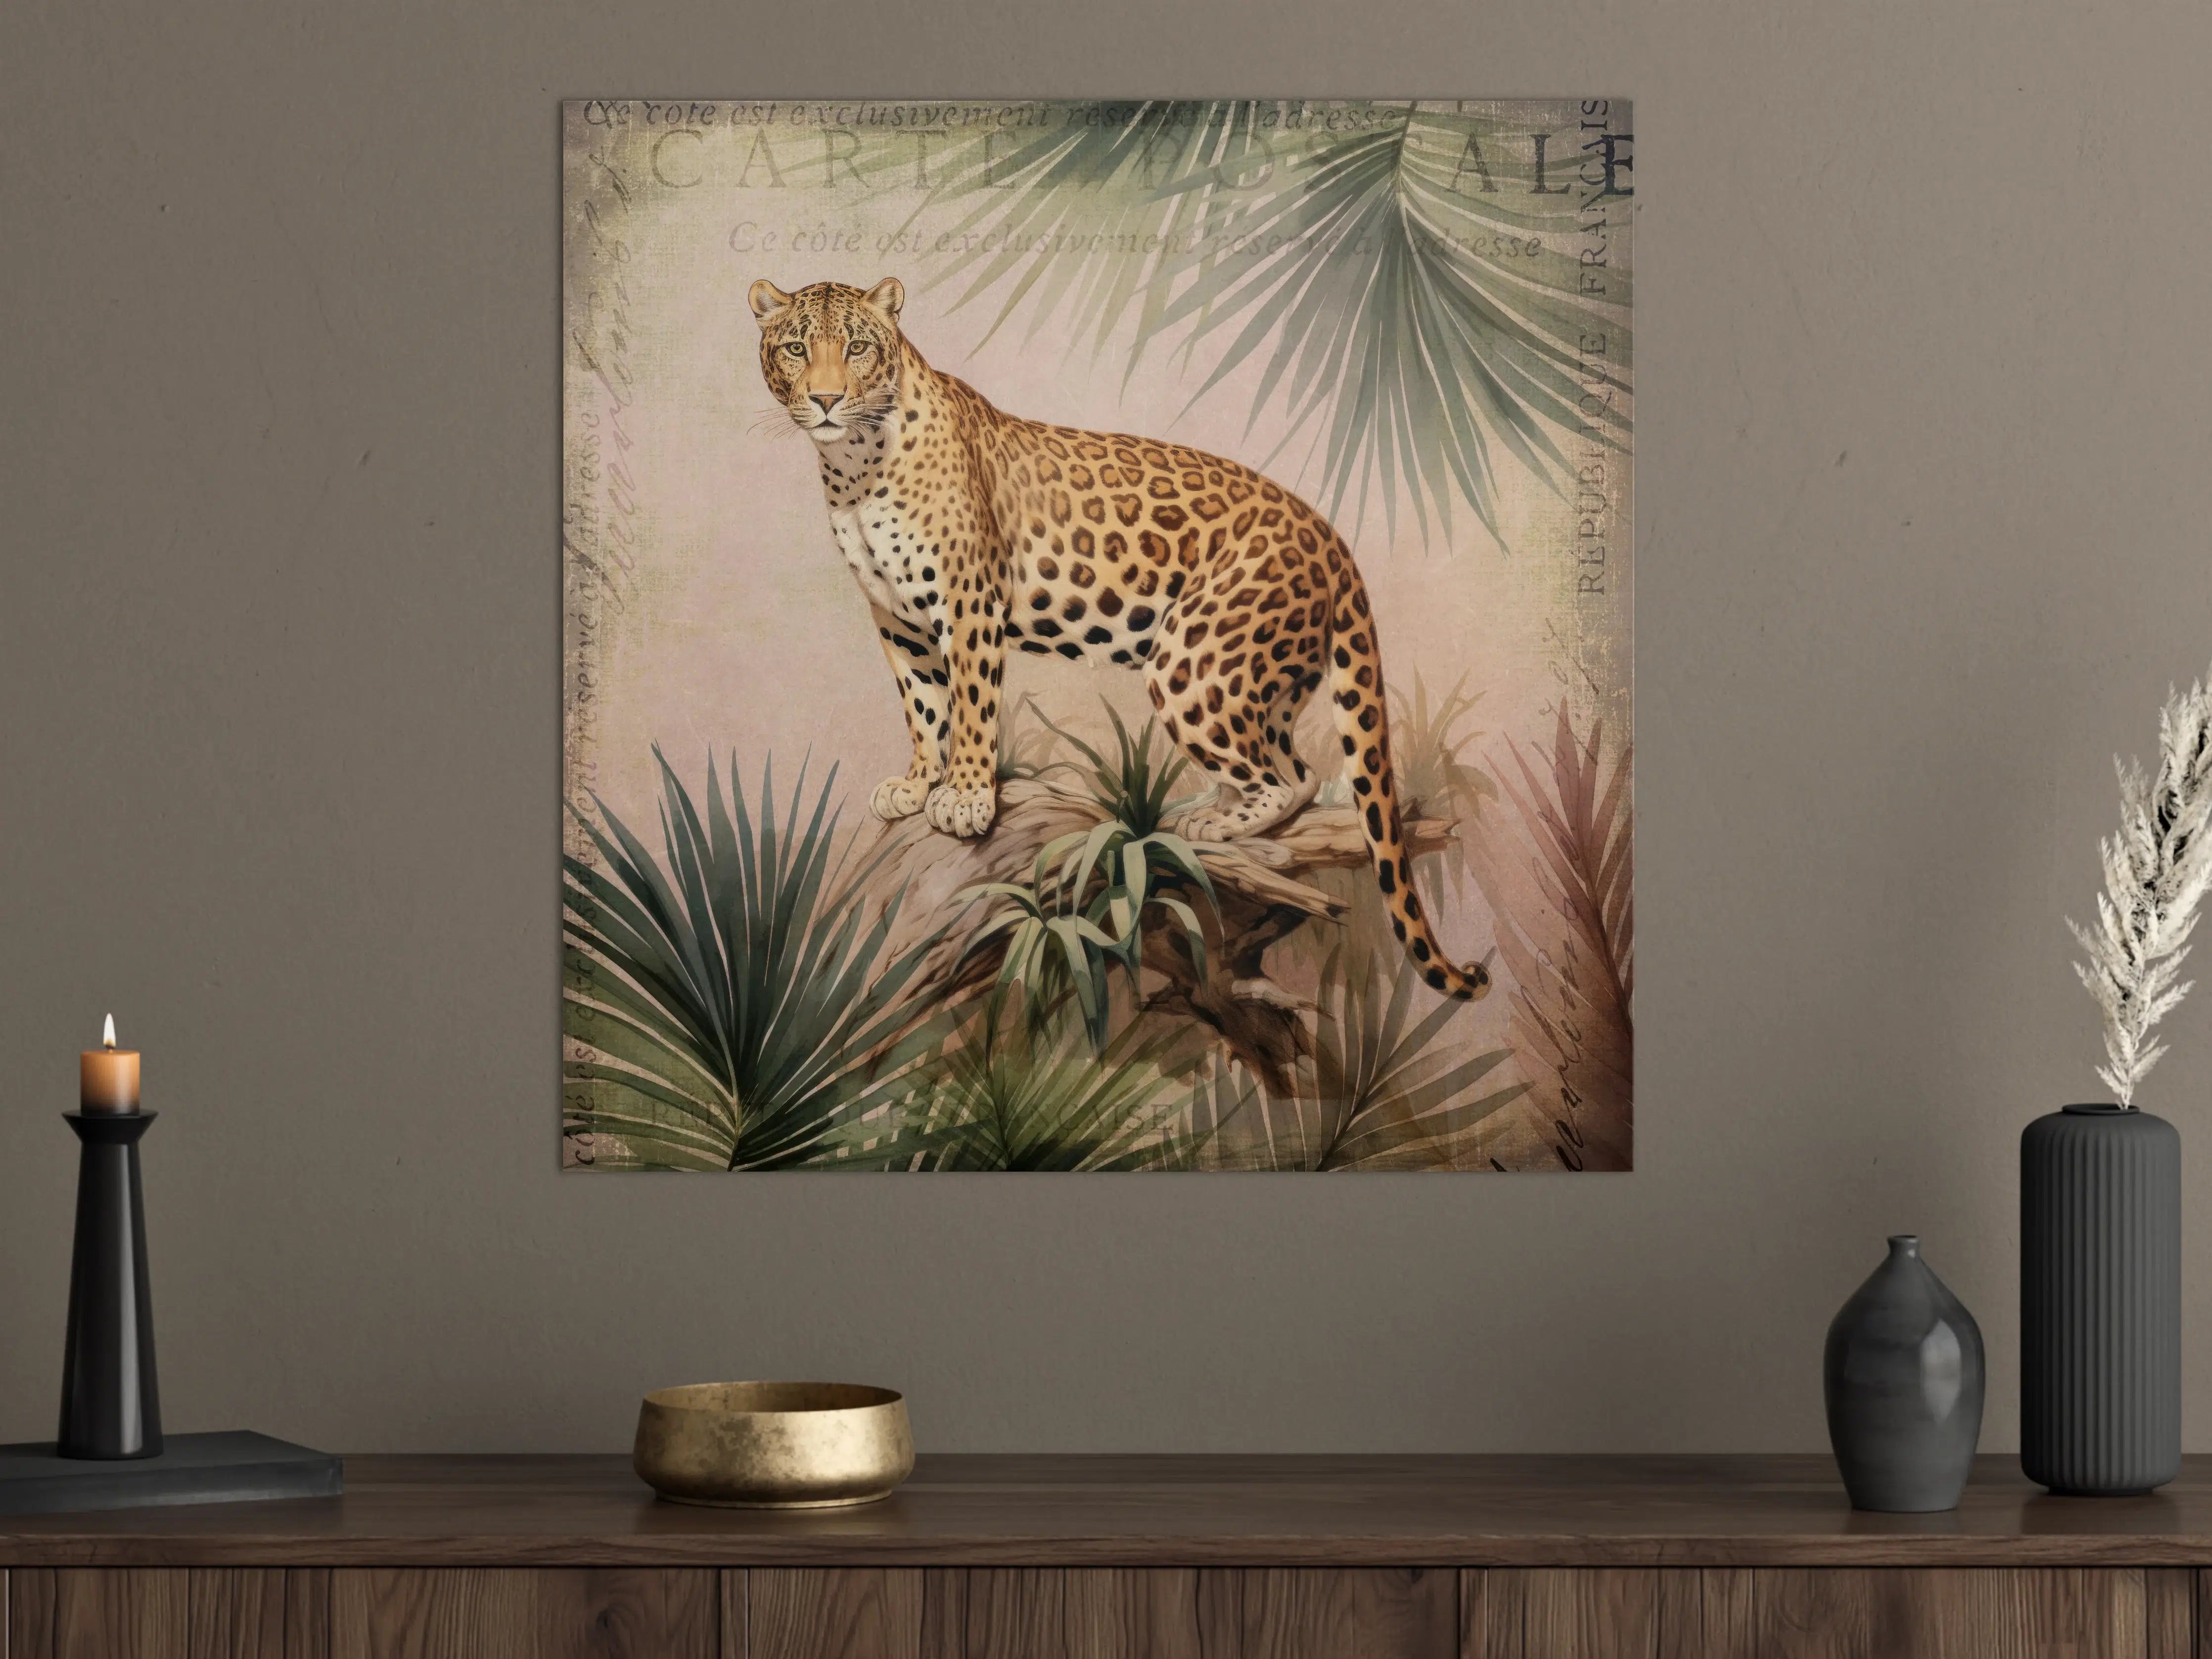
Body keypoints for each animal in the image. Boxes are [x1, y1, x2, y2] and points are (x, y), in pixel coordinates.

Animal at [749, 276, 1491, 1001]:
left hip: (1194, 661)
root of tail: (1332, 539)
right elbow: (925, 708)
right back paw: (1208, 805)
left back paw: (1213, 822)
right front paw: (917, 781)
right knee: (1296, 769)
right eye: (795, 348)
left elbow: (971, 708)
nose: (825, 399)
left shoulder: (969, 604)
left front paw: (966, 796)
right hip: (1260, 675)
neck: (855, 467)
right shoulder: (898, 620)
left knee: (1286, 778)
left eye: (857, 348)